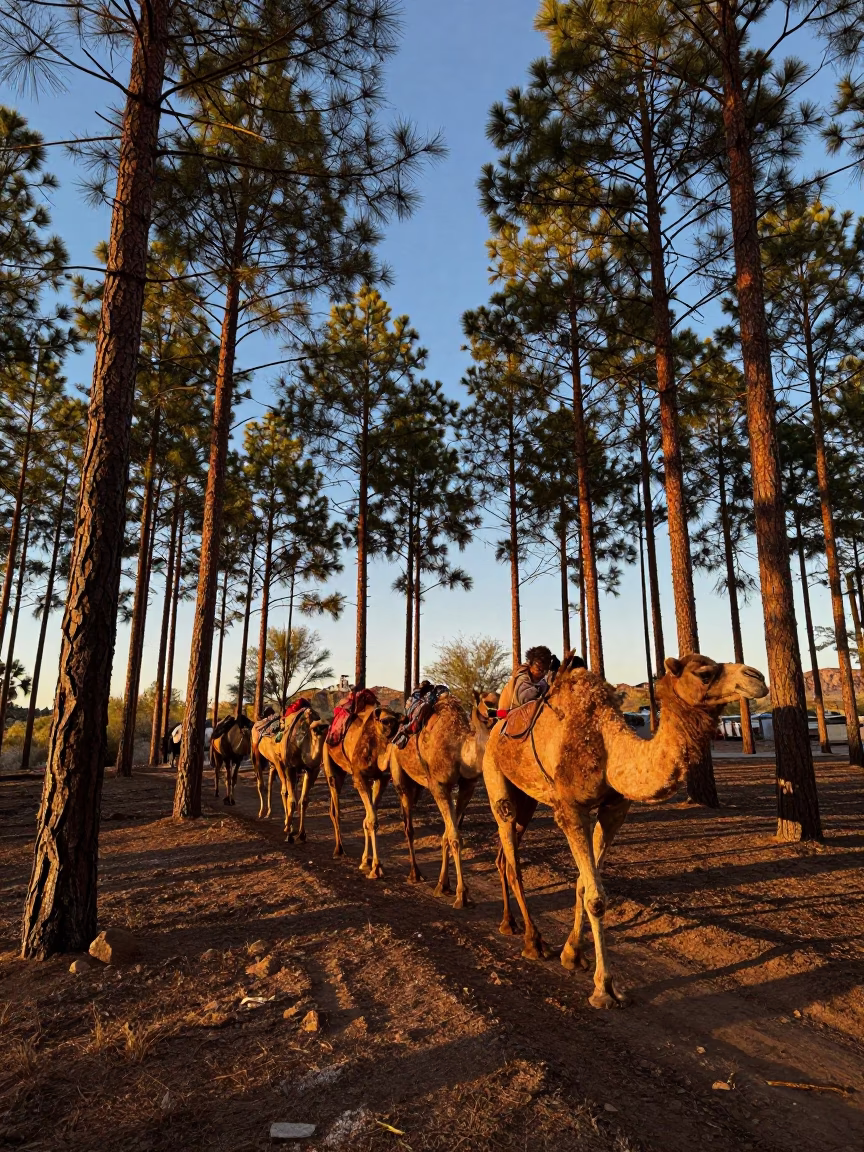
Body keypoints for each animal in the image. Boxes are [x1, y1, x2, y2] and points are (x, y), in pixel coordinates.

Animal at [251, 707, 329, 842]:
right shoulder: (290, 767)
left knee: (272, 782)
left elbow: (304, 800)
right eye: (315, 731)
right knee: (265, 784)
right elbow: (290, 797)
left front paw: (302, 834)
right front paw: (289, 831)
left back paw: (270, 814)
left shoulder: (311, 770)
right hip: (259, 754)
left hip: (274, 762)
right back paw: (262, 813)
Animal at [322, 703, 400, 877]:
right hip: (330, 766)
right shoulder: (359, 777)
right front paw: (375, 868)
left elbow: (369, 819)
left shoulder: (381, 778)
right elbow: (371, 820)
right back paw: (339, 849)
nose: (395, 737)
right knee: (335, 809)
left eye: (401, 721)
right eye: (385, 721)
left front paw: (367, 862)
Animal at [385, 690, 500, 907]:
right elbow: (454, 837)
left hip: (418, 786)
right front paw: (461, 895)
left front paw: (443, 885)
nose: (498, 717)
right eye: (488, 703)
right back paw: (414, 874)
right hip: (399, 775)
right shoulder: (438, 786)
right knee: (408, 827)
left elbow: (448, 834)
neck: (460, 749)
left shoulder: (467, 786)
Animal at [484, 652, 768, 1009]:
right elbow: (595, 898)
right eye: (704, 673)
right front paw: (604, 988)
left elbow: (582, 884)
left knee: (504, 856)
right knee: (512, 857)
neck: (608, 747)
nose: (757, 677)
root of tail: (495, 727)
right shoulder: (570, 809)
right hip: (496, 779)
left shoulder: (614, 809)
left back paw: (509, 924)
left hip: (528, 800)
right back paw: (533, 942)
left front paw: (573, 955)